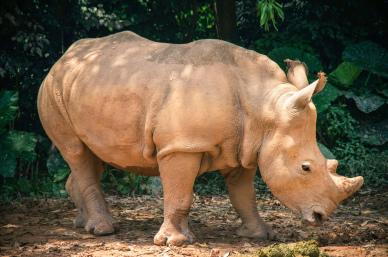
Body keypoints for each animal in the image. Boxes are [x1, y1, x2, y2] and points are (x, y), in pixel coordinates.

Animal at [36, 31, 364, 245]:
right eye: (305, 168)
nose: (321, 216)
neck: (264, 109)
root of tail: (63, 58)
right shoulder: (180, 146)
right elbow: (180, 194)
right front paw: (175, 243)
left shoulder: (244, 148)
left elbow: (244, 195)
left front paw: (260, 235)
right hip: (52, 89)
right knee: (76, 152)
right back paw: (103, 230)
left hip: (87, 86)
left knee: (92, 156)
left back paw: (83, 224)